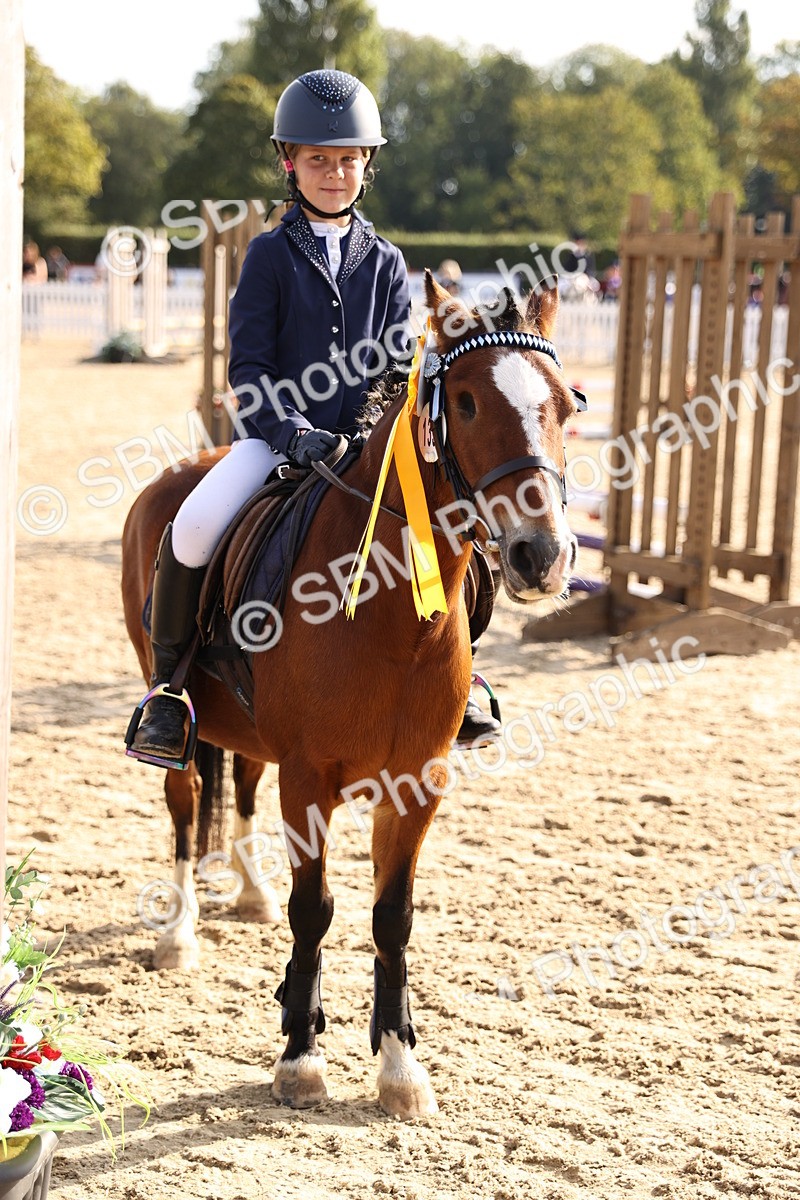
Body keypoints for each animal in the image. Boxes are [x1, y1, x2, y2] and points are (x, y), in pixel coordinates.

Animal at [121, 271, 580, 1119]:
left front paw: (400, 1068)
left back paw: (250, 894)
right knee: (185, 801)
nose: (543, 557)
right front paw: (301, 1059)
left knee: (240, 783)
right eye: (466, 402)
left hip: (252, 732)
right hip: (169, 699)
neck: (395, 621)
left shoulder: (419, 782)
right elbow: (318, 910)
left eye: (566, 404)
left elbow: (391, 917)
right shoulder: (311, 779)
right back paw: (179, 933)